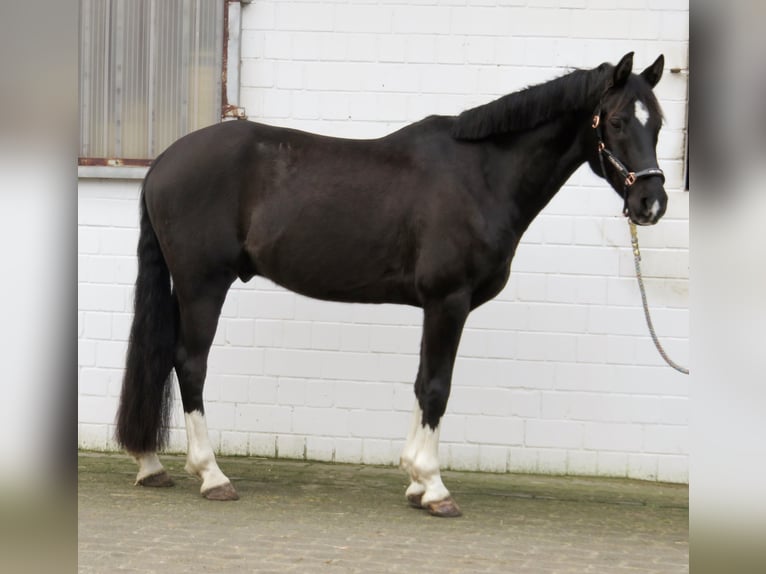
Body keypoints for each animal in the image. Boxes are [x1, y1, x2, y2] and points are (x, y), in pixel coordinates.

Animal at [117, 53, 668, 516]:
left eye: (659, 123)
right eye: (618, 121)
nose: (652, 204)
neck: (482, 175)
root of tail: (163, 162)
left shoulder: (435, 306)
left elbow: (423, 383)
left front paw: (416, 482)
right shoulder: (449, 301)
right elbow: (439, 386)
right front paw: (435, 488)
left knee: (162, 357)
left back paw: (152, 465)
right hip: (203, 285)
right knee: (189, 364)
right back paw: (212, 476)